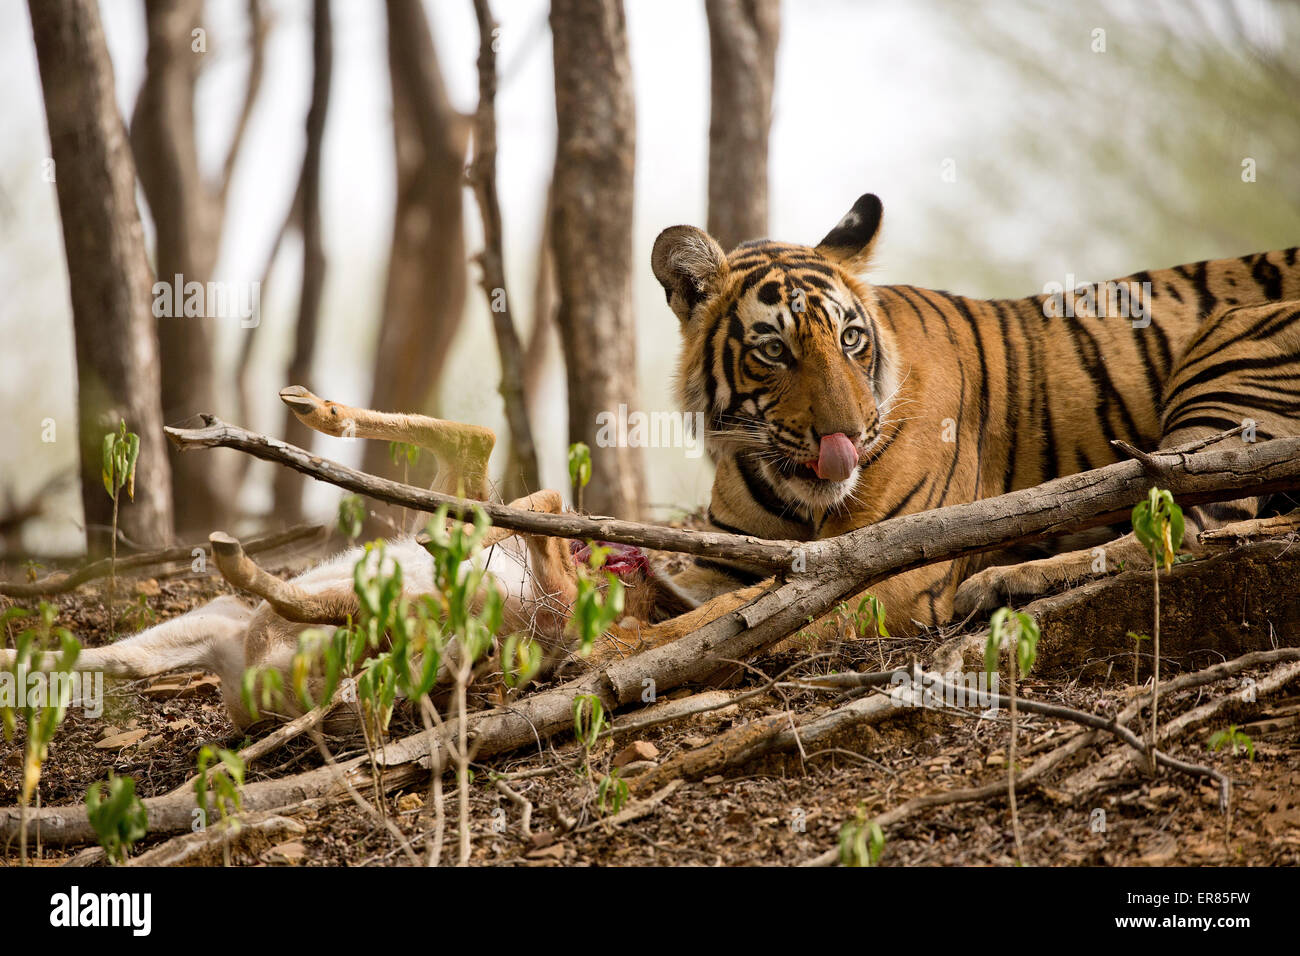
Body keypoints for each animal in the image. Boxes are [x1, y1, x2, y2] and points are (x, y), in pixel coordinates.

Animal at [655, 191, 1300, 632]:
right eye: (774, 351)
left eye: (850, 339)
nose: (849, 438)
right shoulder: (731, 556)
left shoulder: (880, 565)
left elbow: (710, 624)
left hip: (1227, 361)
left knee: (1181, 528)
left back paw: (1002, 582)